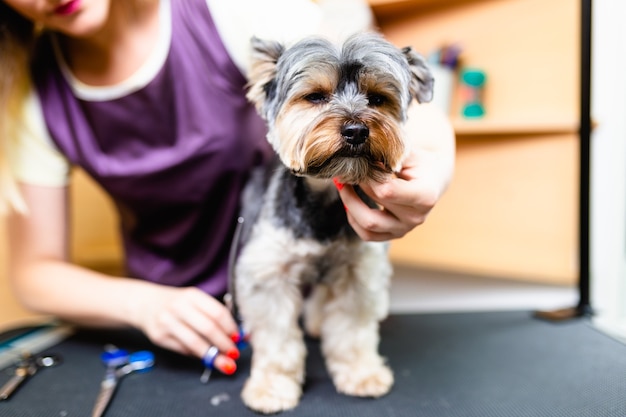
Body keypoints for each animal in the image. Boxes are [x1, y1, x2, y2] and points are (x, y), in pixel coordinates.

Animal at [232, 32, 432, 412]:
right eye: (315, 96)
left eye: (377, 98)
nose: (356, 130)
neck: (324, 201)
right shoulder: (270, 276)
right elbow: (277, 339)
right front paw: (273, 387)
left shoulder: (358, 271)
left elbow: (351, 331)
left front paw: (360, 374)